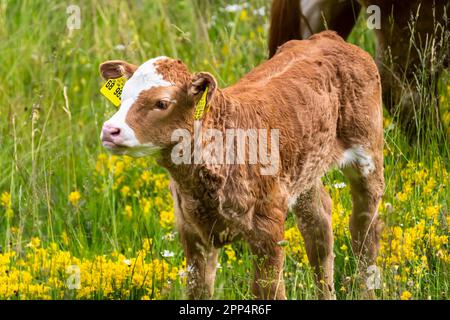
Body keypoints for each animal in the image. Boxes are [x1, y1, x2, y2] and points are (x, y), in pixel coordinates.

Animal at [98, 31, 384, 298]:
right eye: (122, 96)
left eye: (162, 103)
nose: (110, 130)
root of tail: (328, 37)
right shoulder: (191, 230)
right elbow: (199, 288)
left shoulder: (268, 229)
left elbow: (267, 288)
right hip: (304, 170)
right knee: (318, 223)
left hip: (368, 151)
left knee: (365, 228)